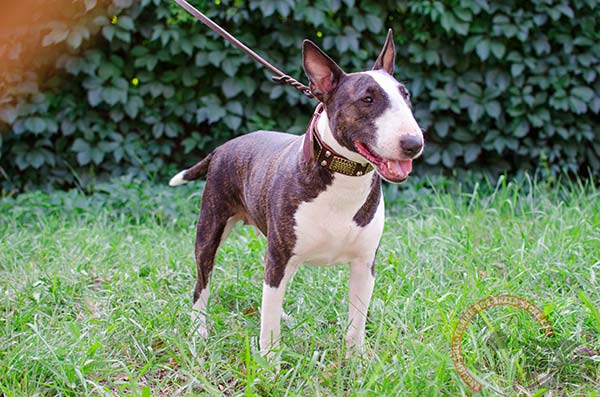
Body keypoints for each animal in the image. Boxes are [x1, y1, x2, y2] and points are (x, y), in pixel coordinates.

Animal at [169, 28, 422, 356]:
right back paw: (198, 330)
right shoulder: (279, 258)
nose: (414, 144)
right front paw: (269, 364)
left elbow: (356, 323)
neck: (342, 179)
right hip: (211, 228)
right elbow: (269, 329)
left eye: (406, 96)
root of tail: (223, 147)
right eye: (367, 99)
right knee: (203, 282)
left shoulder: (364, 264)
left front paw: (356, 360)